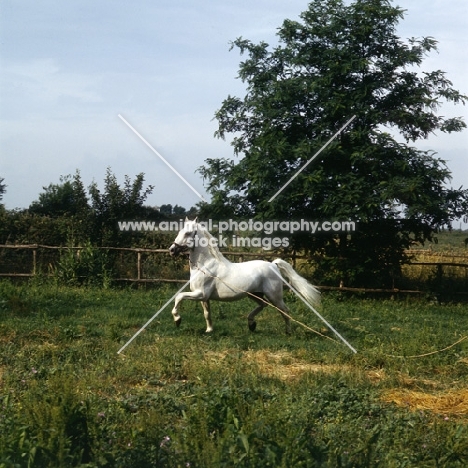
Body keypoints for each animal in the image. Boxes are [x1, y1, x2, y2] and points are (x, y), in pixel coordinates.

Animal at [169, 218, 322, 332]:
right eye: (180, 231)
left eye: (188, 233)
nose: (172, 250)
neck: (205, 265)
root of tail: (273, 265)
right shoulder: (204, 297)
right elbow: (207, 314)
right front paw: (209, 330)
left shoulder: (200, 294)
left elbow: (179, 297)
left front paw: (177, 320)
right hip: (255, 294)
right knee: (263, 305)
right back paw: (251, 324)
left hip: (274, 296)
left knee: (285, 311)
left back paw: (288, 332)